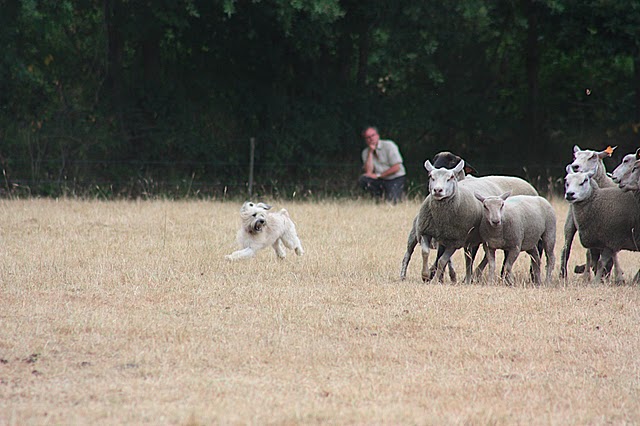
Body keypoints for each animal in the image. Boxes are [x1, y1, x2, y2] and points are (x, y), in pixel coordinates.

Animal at [556, 146, 616, 280]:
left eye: (593, 156)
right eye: (575, 156)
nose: (575, 166)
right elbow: (590, 254)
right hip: (570, 222)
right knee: (566, 249)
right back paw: (565, 275)